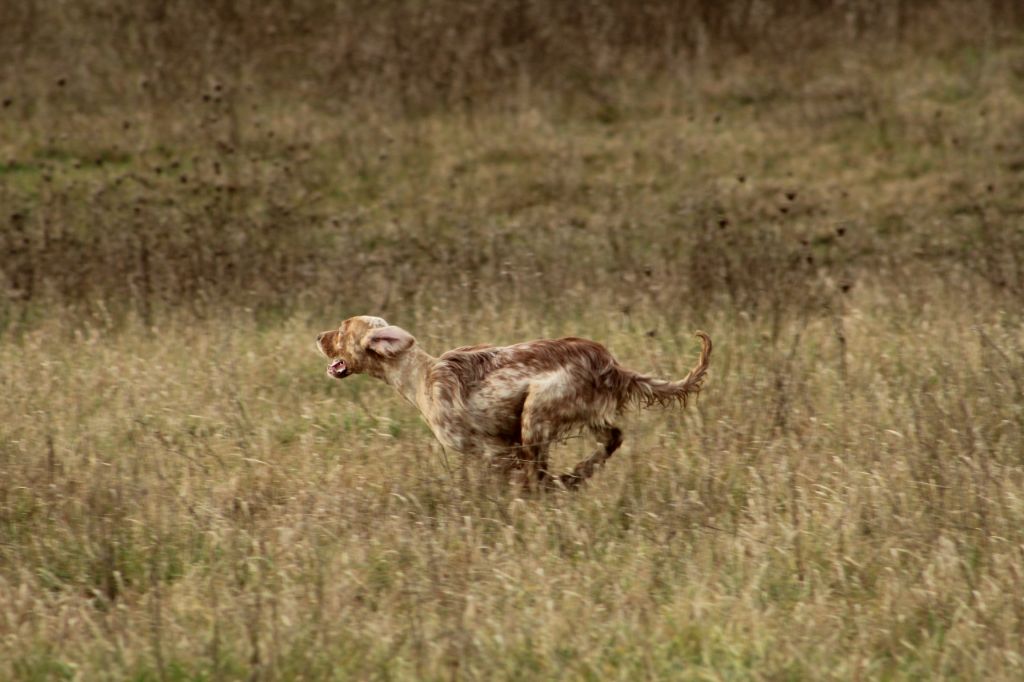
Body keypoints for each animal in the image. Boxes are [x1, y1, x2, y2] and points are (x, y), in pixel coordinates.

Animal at [313, 315, 712, 485]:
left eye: (342, 330)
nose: (317, 336)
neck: (422, 377)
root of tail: (608, 362)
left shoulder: (498, 451)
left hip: (536, 414)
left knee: (544, 472)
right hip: (581, 417)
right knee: (612, 439)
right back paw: (575, 476)